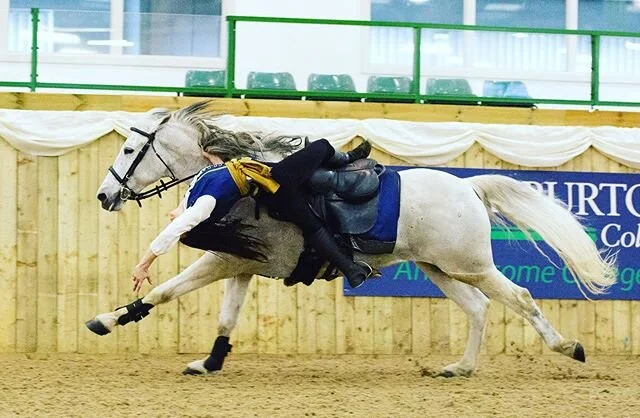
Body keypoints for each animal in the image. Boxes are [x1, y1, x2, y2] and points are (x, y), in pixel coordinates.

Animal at [86, 101, 616, 377]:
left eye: (130, 149)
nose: (103, 195)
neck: (243, 178)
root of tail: (468, 186)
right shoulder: (241, 265)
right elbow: (226, 318)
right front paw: (211, 361)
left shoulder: (224, 261)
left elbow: (163, 291)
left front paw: (109, 319)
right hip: (440, 268)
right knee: (479, 309)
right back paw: (459, 368)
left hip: (471, 265)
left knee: (520, 298)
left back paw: (568, 347)